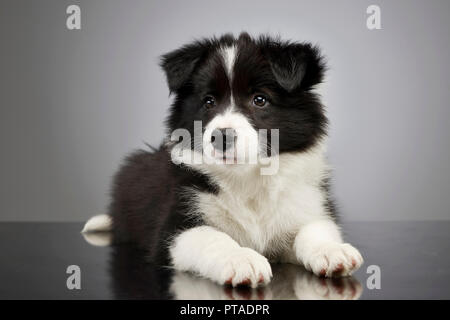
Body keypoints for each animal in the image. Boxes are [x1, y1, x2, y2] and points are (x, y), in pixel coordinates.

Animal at [84, 32, 364, 288]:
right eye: (208, 101)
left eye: (260, 99)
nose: (222, 137)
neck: (247, 178)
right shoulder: (174, 228)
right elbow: (212, 237)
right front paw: (241, 259)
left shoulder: (308, 203)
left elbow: (315, 227)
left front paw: (331, 250)